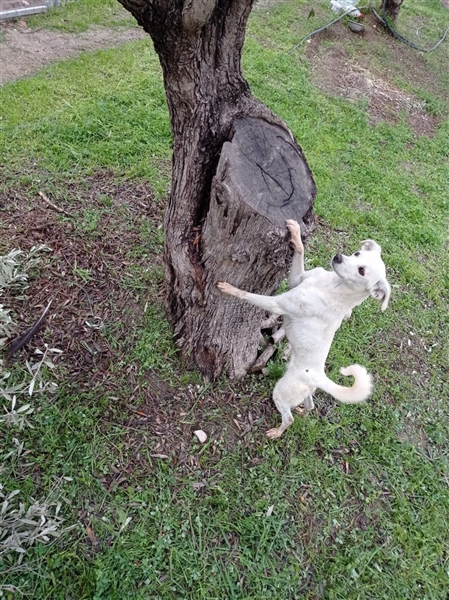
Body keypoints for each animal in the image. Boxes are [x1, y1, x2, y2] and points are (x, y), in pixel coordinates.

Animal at [217, 219, 390, 439]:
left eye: (361, 271)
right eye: (357, 254)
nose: (338, 257)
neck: (332, 286)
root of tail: (319, 376)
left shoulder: (277, 304)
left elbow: (248, 295)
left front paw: (230, 289)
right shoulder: (296, 279)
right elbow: (300, 252)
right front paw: (296, 233)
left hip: (281, 392)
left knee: (288, 419)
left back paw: (277, 432)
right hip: (304, 392)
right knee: (310, 405)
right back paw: (303, 412)